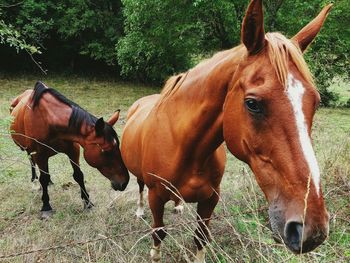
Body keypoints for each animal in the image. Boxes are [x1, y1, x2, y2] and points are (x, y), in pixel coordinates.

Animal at [10, 82, 130, 219]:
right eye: (107, 150)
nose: (124, 182)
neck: (48, 120)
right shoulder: (39, 154)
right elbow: (43, 178)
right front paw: (46, 206)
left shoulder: (73, 150)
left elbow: (78, 175)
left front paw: (87, 203)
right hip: (32, 152)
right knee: (32, 162)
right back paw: (34, 179)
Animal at [121, 0, 332, 262]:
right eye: (252, 103)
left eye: (315, 102)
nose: (312, 229)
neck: (186, 149)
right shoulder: (156, 197)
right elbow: (158, 234)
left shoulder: (210, 199)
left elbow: (200, 238)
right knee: (139, 187)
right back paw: (139, 211)